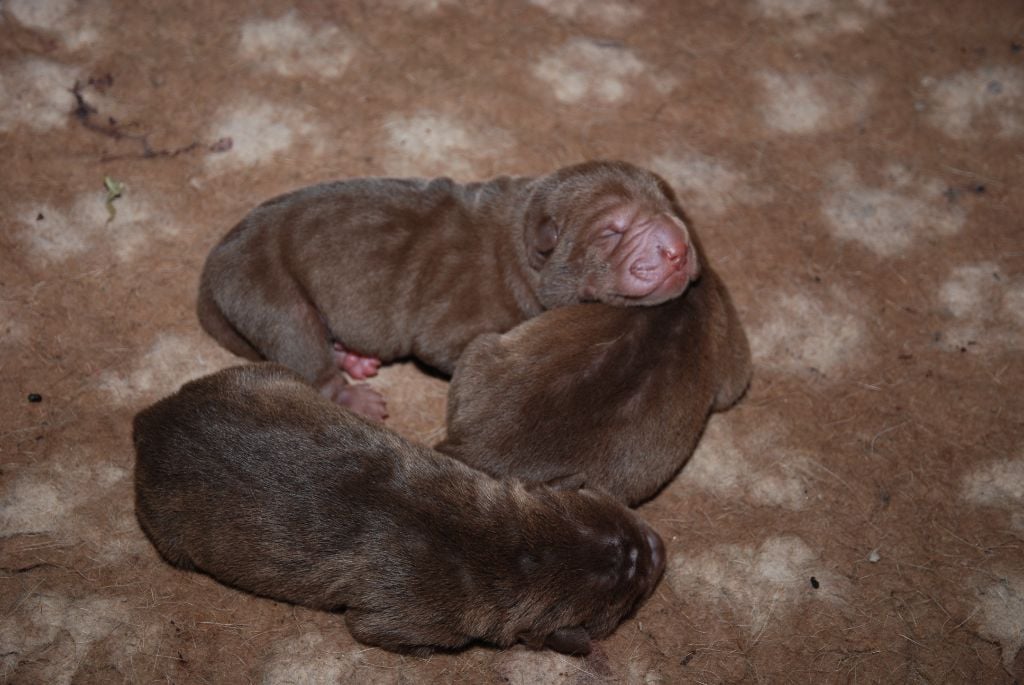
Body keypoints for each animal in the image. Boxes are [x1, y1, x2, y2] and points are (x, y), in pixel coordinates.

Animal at [132, 360, 667, 655]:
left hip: (262, 376)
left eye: (625, 526)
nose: (658, 548)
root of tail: (149, 420)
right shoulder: (396, 621)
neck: (516, 548)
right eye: (632, 596)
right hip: (170, 534)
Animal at [195, 161, 700, 417]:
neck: (520, 245)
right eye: (612, 231)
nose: (677, 249)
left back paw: (353, 356)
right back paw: (352, 395)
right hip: (269, 289)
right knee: (302, 349)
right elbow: (451, 346)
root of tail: (212, 270)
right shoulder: (451, 319)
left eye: (669, 204)